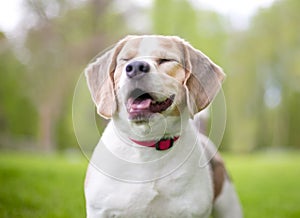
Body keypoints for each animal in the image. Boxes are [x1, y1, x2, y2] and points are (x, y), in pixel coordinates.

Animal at [83, 35, 243, 217]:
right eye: (125, 60)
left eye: (166, 60)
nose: (135, 67)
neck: (148, 146)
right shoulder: (99, 210)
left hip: (229, 207)